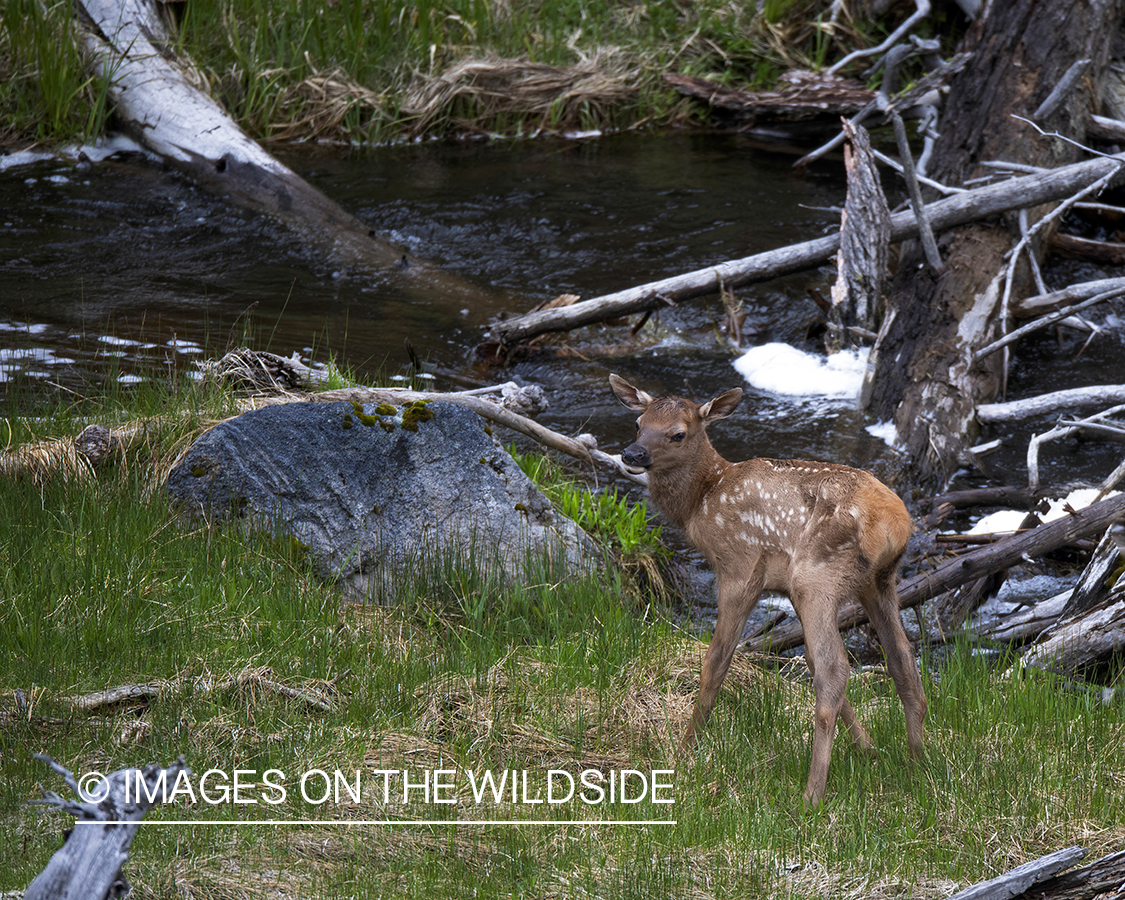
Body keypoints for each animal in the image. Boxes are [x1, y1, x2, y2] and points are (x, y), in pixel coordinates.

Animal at [612, 373, 927, 810]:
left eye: (678, 434)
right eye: (639, 423)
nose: (632, 453)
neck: (701, 501)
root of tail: (893, 523)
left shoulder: (739, 566)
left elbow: (716, 662)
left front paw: (684, 753)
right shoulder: (785, 585)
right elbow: (807, 659)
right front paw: (868, 747)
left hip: (818, 574)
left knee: (836, 669)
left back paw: (812, 795)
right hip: (877, 582)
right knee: (903, 661)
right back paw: (916, 764)